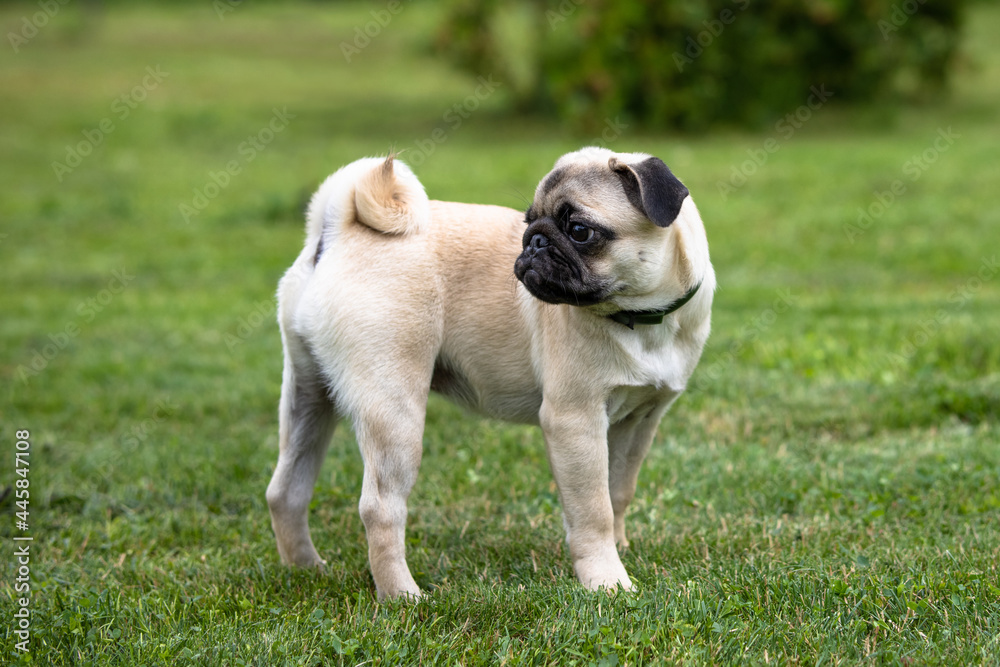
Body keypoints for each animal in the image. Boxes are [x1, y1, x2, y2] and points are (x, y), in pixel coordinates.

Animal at [266, 146, 716, 600]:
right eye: (529, 221)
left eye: (578, 230)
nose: (534, 240)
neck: (643, 319)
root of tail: (338, 231)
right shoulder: (575, 420)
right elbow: (593, 509)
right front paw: (606, 581)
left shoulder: (638, 421)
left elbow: (618, 491)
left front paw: (620, 548)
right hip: (394, 410)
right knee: (380, 507)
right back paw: (403, 596)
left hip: (307, 394)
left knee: (286, 490)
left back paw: (306, 569)